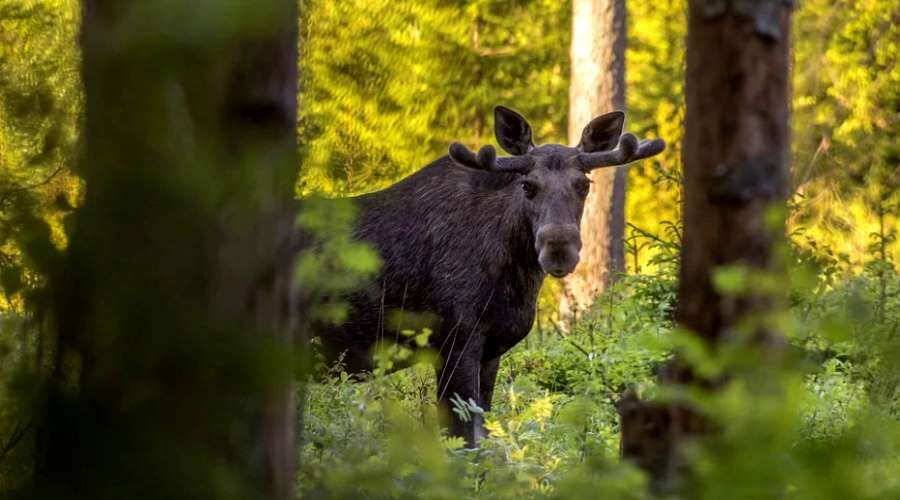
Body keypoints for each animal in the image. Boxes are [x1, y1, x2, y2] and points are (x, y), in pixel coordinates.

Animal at [310, 105, 660, 446]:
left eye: (584, 185)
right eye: (527, 185)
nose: (559, 248)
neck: (514, 281)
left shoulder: (491, 350)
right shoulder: (454, 339)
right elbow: (464, 439)